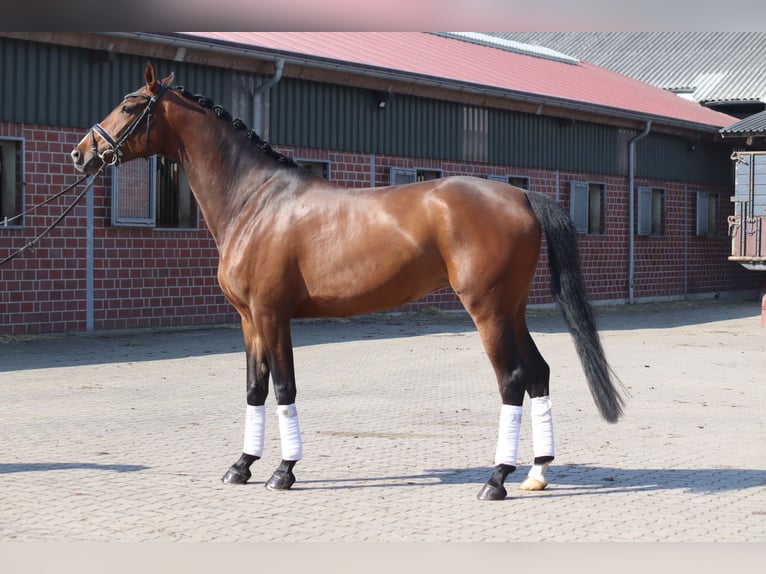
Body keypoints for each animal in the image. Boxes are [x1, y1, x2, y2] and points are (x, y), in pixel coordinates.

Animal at [71, 63, 624, 501]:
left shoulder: (272, 315)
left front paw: (283, 471)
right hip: (512, 309)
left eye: (129, 105)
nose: (81, 154)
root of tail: (523, 196)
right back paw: (536, 473)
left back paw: (496, 479)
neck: (256, 200)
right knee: (538, 373)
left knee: (511, 379)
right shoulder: (248, 319)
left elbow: (284, 387)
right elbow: (255, 388)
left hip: (487, 310)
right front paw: (241, 466)